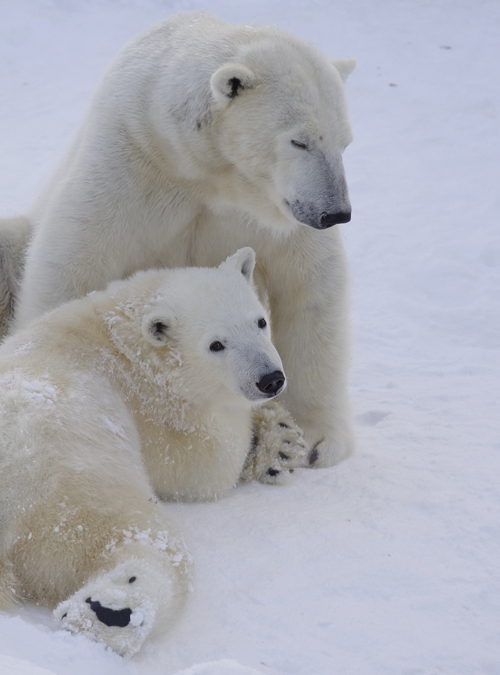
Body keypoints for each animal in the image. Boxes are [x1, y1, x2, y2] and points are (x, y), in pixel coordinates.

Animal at [0, 248, 304, 656]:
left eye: (260, 321)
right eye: (216, 344)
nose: (270, 379)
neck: (123, 335)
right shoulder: (153, 408)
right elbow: (208, 466)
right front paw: (274, 441)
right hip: (67, 473)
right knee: (143, 538)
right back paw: (108, 611)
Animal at [1, 14, 358, 470]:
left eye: (345, 142)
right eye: (300, 140)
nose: (336, 213)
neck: (204, 171)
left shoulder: (272, 213)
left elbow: (309, 288)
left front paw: (312, 437)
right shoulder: (128, 164)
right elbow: (73, 264)